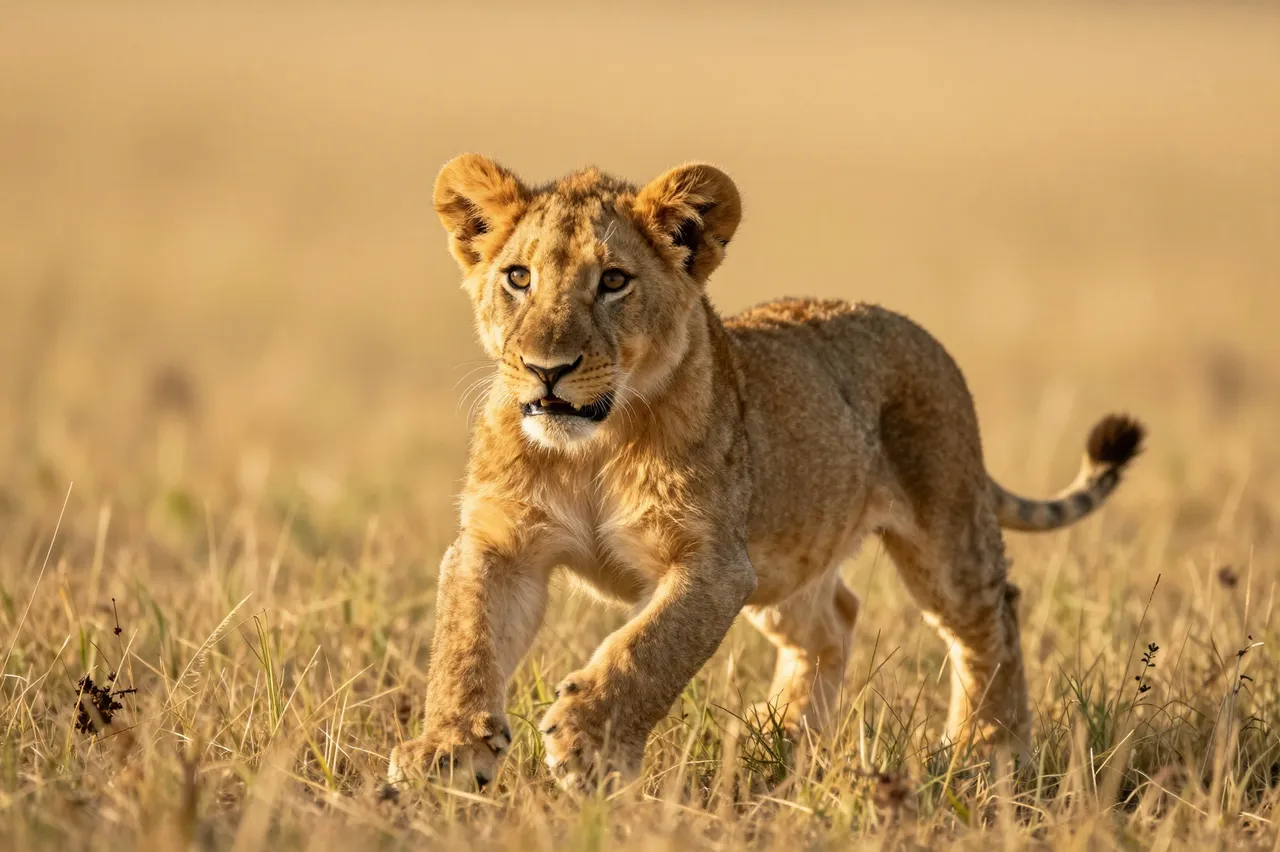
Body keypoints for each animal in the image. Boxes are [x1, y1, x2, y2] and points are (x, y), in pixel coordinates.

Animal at [387, 155, 1144, 791]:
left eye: (613, 281)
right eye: (519, 277)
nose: (548, 370)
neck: (592, 448)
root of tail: (913, 328)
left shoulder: (715, 563)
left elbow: (648, 650)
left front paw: (587, 744)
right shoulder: (500, 543)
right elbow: (465, 645)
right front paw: (445, 752)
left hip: (941, 533)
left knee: (990, 618)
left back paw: (986, 752)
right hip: (787, 559)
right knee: (834, 620)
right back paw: (775, 735)